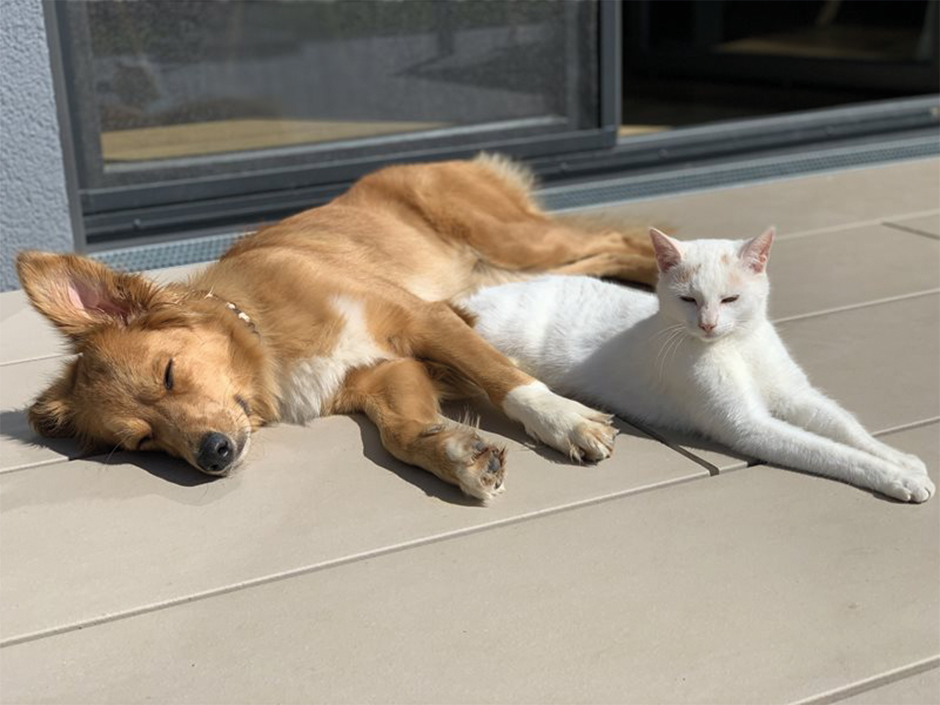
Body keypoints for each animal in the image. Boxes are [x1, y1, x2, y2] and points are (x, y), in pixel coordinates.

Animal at [466, 228, 936, 504]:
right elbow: (831, 452)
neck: (737, 346)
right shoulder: (748, 427)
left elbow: (847, 429)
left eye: (730, 299)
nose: (708, 324)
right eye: (688, 299)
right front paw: (898, 478)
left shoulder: (796, 395)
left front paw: (901, 460)